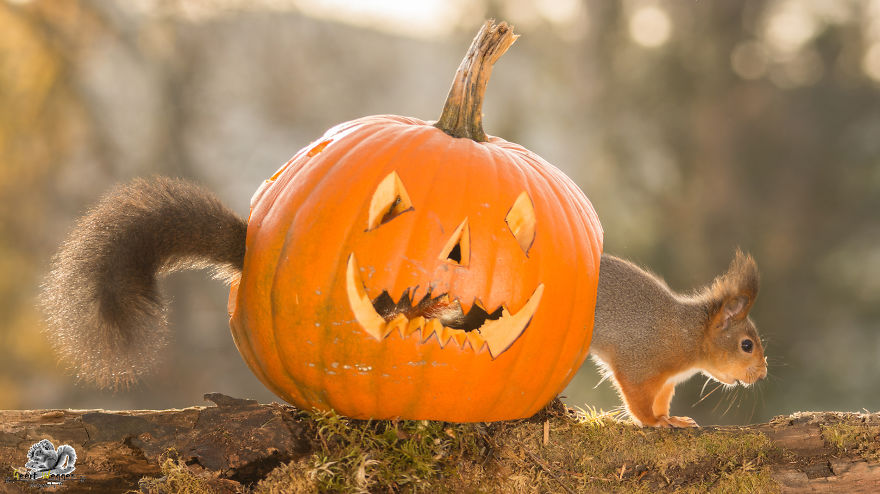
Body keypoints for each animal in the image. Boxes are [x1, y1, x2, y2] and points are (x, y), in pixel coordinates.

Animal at [590, 252, 767, 427]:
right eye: (747, 345)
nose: (763, 374)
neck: (689, 336)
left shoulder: (667, 382)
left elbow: (660, 402)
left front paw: (670, 419)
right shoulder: (638, 366)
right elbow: (638, 399)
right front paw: (653, 421)